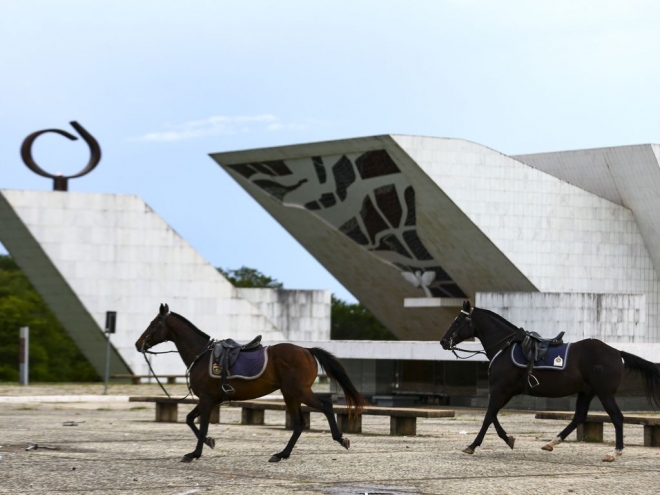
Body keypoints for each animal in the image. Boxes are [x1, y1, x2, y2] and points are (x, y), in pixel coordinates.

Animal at [133, 304, 366, 464]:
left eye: (153, 324)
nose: (138, 344)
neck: (201, 354)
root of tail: (307, 350)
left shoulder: (207, 400)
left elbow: (201, 425)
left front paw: (196, 452)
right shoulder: (210, 400)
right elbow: (190, 420)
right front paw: (207, 442)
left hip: (299, 391)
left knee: (326, 407)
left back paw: (340, 439)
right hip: (289, 394)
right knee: (299, 424)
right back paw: (282, 454)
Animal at [438, 300, 660, 464]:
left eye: (458, 321)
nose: (443, 341)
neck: (506, 346)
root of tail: (616, 352)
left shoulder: (501, 389)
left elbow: (488, 416)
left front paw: (473, 445)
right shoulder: (506, 392)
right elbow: (493, 416)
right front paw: (509, 439)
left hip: (604, 393)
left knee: (616, 417)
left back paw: (615, 452)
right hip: (586, 392)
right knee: (579, 417)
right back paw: (552, 442)